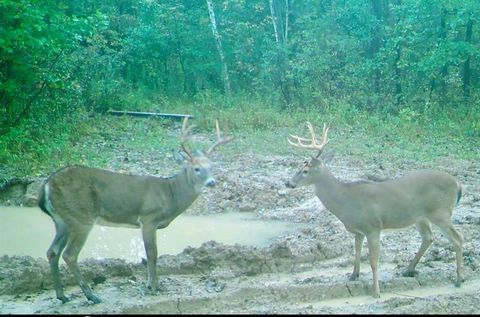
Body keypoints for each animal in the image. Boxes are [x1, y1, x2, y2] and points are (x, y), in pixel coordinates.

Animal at [37, 117, 232, 302]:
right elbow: (152, 253)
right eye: (196, 168)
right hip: (81, 217)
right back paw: (92, 296)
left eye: (211, 167)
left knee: (52, 251)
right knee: (69, 254)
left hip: (62, 220)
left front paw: (152, 284)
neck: (170, 195)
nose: (212, 182)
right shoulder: (148, 218)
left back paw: (62, 296)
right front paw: (153, 286)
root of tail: (47, 185)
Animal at [284, 120, 464, 296]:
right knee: (428, 237)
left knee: (457, 238)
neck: (346, 201)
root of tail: (457, 183)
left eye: (305, 170)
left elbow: (373, 261)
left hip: (440, 212)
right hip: (420, 217)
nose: (288, 182)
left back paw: (458, 279)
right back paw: (409, 270)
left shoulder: (373, 227)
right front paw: (353, 275)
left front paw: (376, 292)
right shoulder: (358, 231)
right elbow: (356, 251)